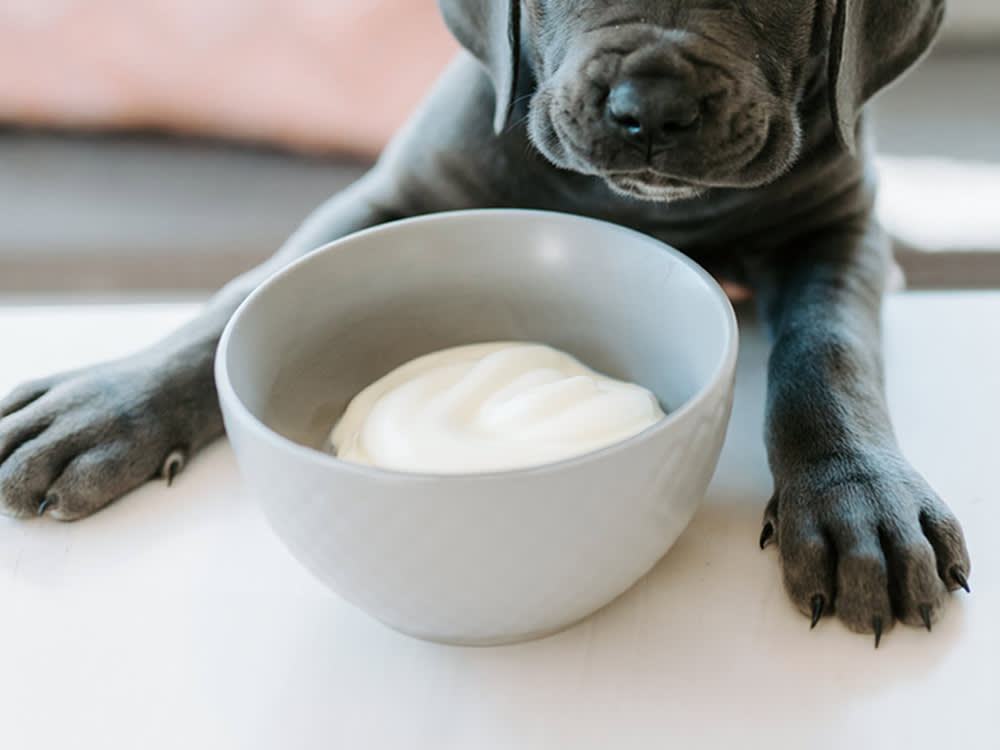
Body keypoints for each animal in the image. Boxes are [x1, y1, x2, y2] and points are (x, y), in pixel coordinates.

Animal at [0, 1, 968, 648]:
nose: (652, 107)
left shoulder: (842, 231)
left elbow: (827, 355)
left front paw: (858, 501)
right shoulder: (399, 195)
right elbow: (236, 301)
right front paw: (104, 405)